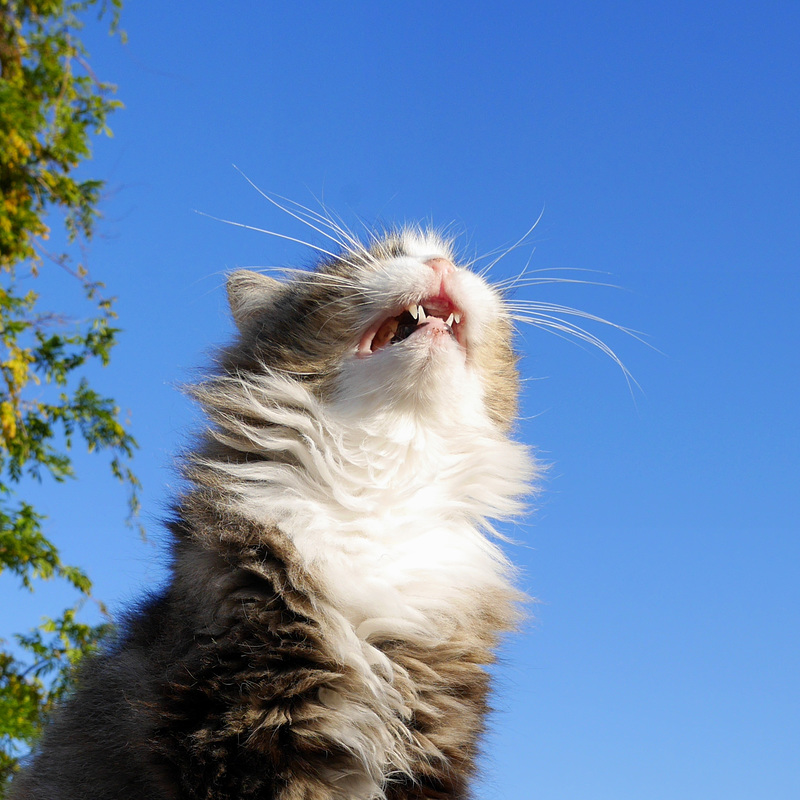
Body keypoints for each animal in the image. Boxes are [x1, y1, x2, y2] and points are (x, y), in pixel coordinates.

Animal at [10, 223, 544, 800]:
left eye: (448, 260)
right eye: (387, 255)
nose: (440, 265)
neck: (379, 477)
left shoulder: (433, 743)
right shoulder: (242, 715)